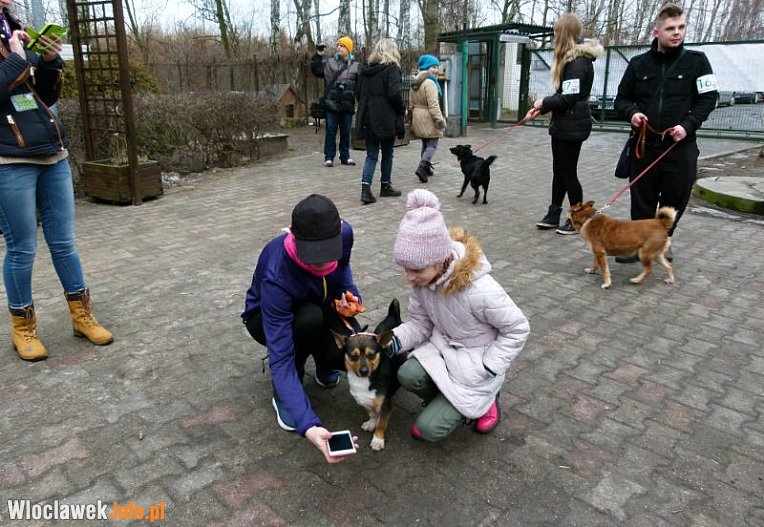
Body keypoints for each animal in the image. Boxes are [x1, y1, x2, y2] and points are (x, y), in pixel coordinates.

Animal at [333, 299, 404, 451]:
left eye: (371, 355)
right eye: (353, 356)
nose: (364, 371)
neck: (366, 380)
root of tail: (393, 316)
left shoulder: (385, 405)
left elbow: (382, 422)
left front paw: (378, 439)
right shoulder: (363, 399)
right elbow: (372, 413)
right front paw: (372, 423)